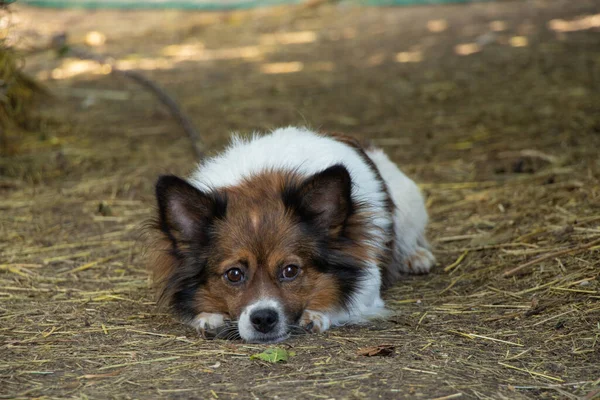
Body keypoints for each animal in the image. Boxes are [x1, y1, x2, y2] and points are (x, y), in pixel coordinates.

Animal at [148, 126, 434, 342]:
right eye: (234, 274)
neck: (260, 181)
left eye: (290, 271)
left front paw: (316, 314)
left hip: (409, 202)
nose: (263, 319)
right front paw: (209, 317)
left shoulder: (367, 275)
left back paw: (415, 256)